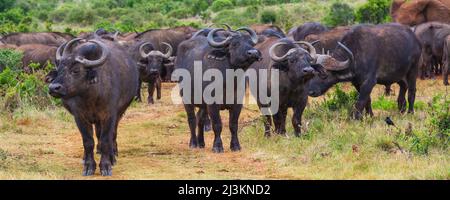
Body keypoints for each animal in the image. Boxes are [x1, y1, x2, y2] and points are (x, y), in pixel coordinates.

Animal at [46, 38, 139, 176]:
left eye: (76, 70)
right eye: (59, 69)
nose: (53, 88)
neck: (91, 96)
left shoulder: (109, 116)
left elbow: (106, 140)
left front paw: (106, 165)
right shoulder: (80, 117)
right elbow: (88, 141)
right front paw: (89, 166)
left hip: (119, 113)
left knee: (112, 135)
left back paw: (112, 155)